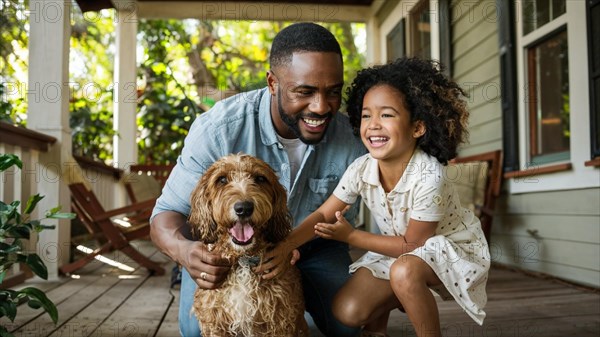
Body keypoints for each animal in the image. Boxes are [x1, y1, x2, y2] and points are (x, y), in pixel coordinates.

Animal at [189, 154, 310, 334]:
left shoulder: (281, 323)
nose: (244, 208)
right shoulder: (215, 324)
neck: (242, 261)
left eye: (260, 179)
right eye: (222, 179)